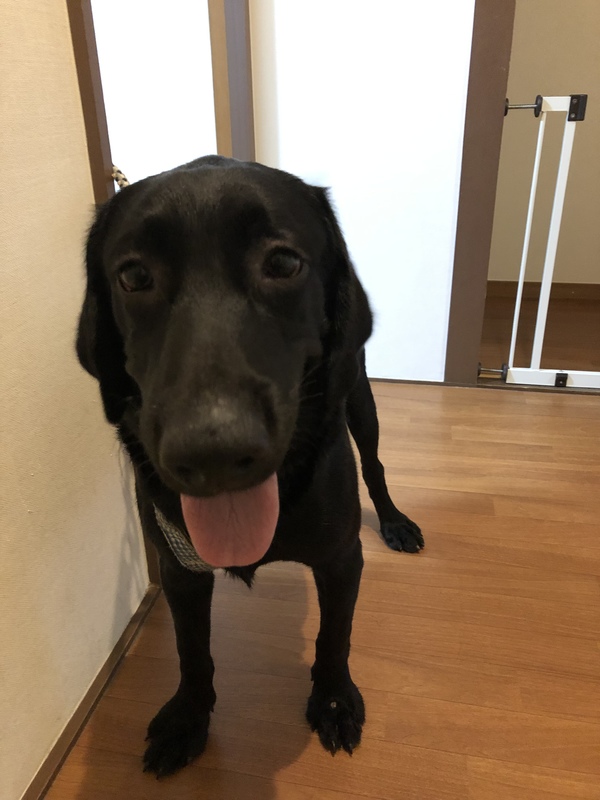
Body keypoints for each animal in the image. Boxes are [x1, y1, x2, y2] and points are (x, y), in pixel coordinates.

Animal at [76, 155, 423, 777]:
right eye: (134, 276)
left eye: (283, 263)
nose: (212, 451)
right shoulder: (179, 569)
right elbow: (192, 651)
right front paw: (189, 718)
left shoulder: (341, 559)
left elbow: (335, 637)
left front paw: (333, 700)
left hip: (361, 400)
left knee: (377, 465)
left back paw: (394, 522)